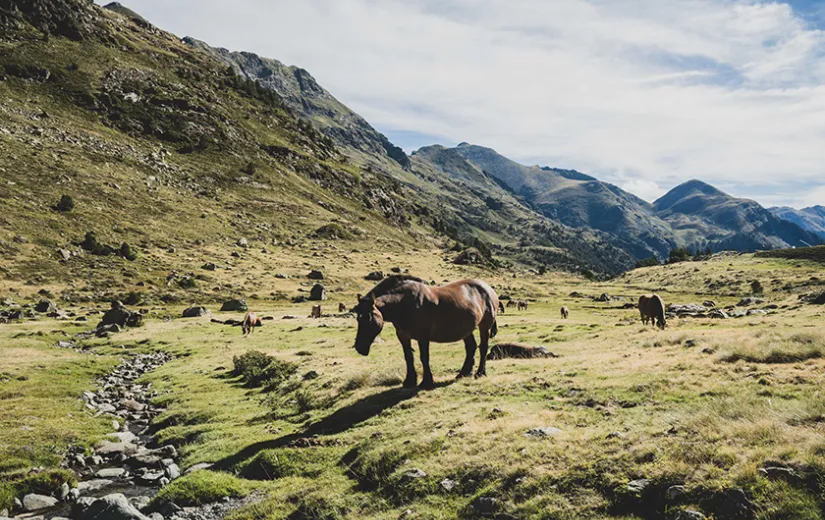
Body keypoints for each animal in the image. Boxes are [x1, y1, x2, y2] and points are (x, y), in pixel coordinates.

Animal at [352, 274, 498, 388]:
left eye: (368, 318)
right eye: (358, 319)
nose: (360, 347)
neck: (403, 303)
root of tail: (488, 289)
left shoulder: (423, 337)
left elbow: (424, 357)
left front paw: (426, 382)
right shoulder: (403, 336)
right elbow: (408, 357)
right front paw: (410, 381)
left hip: (484, 327)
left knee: (483, 347)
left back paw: (480, 373)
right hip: (466, 330)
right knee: (471, 347)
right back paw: (463, 373)